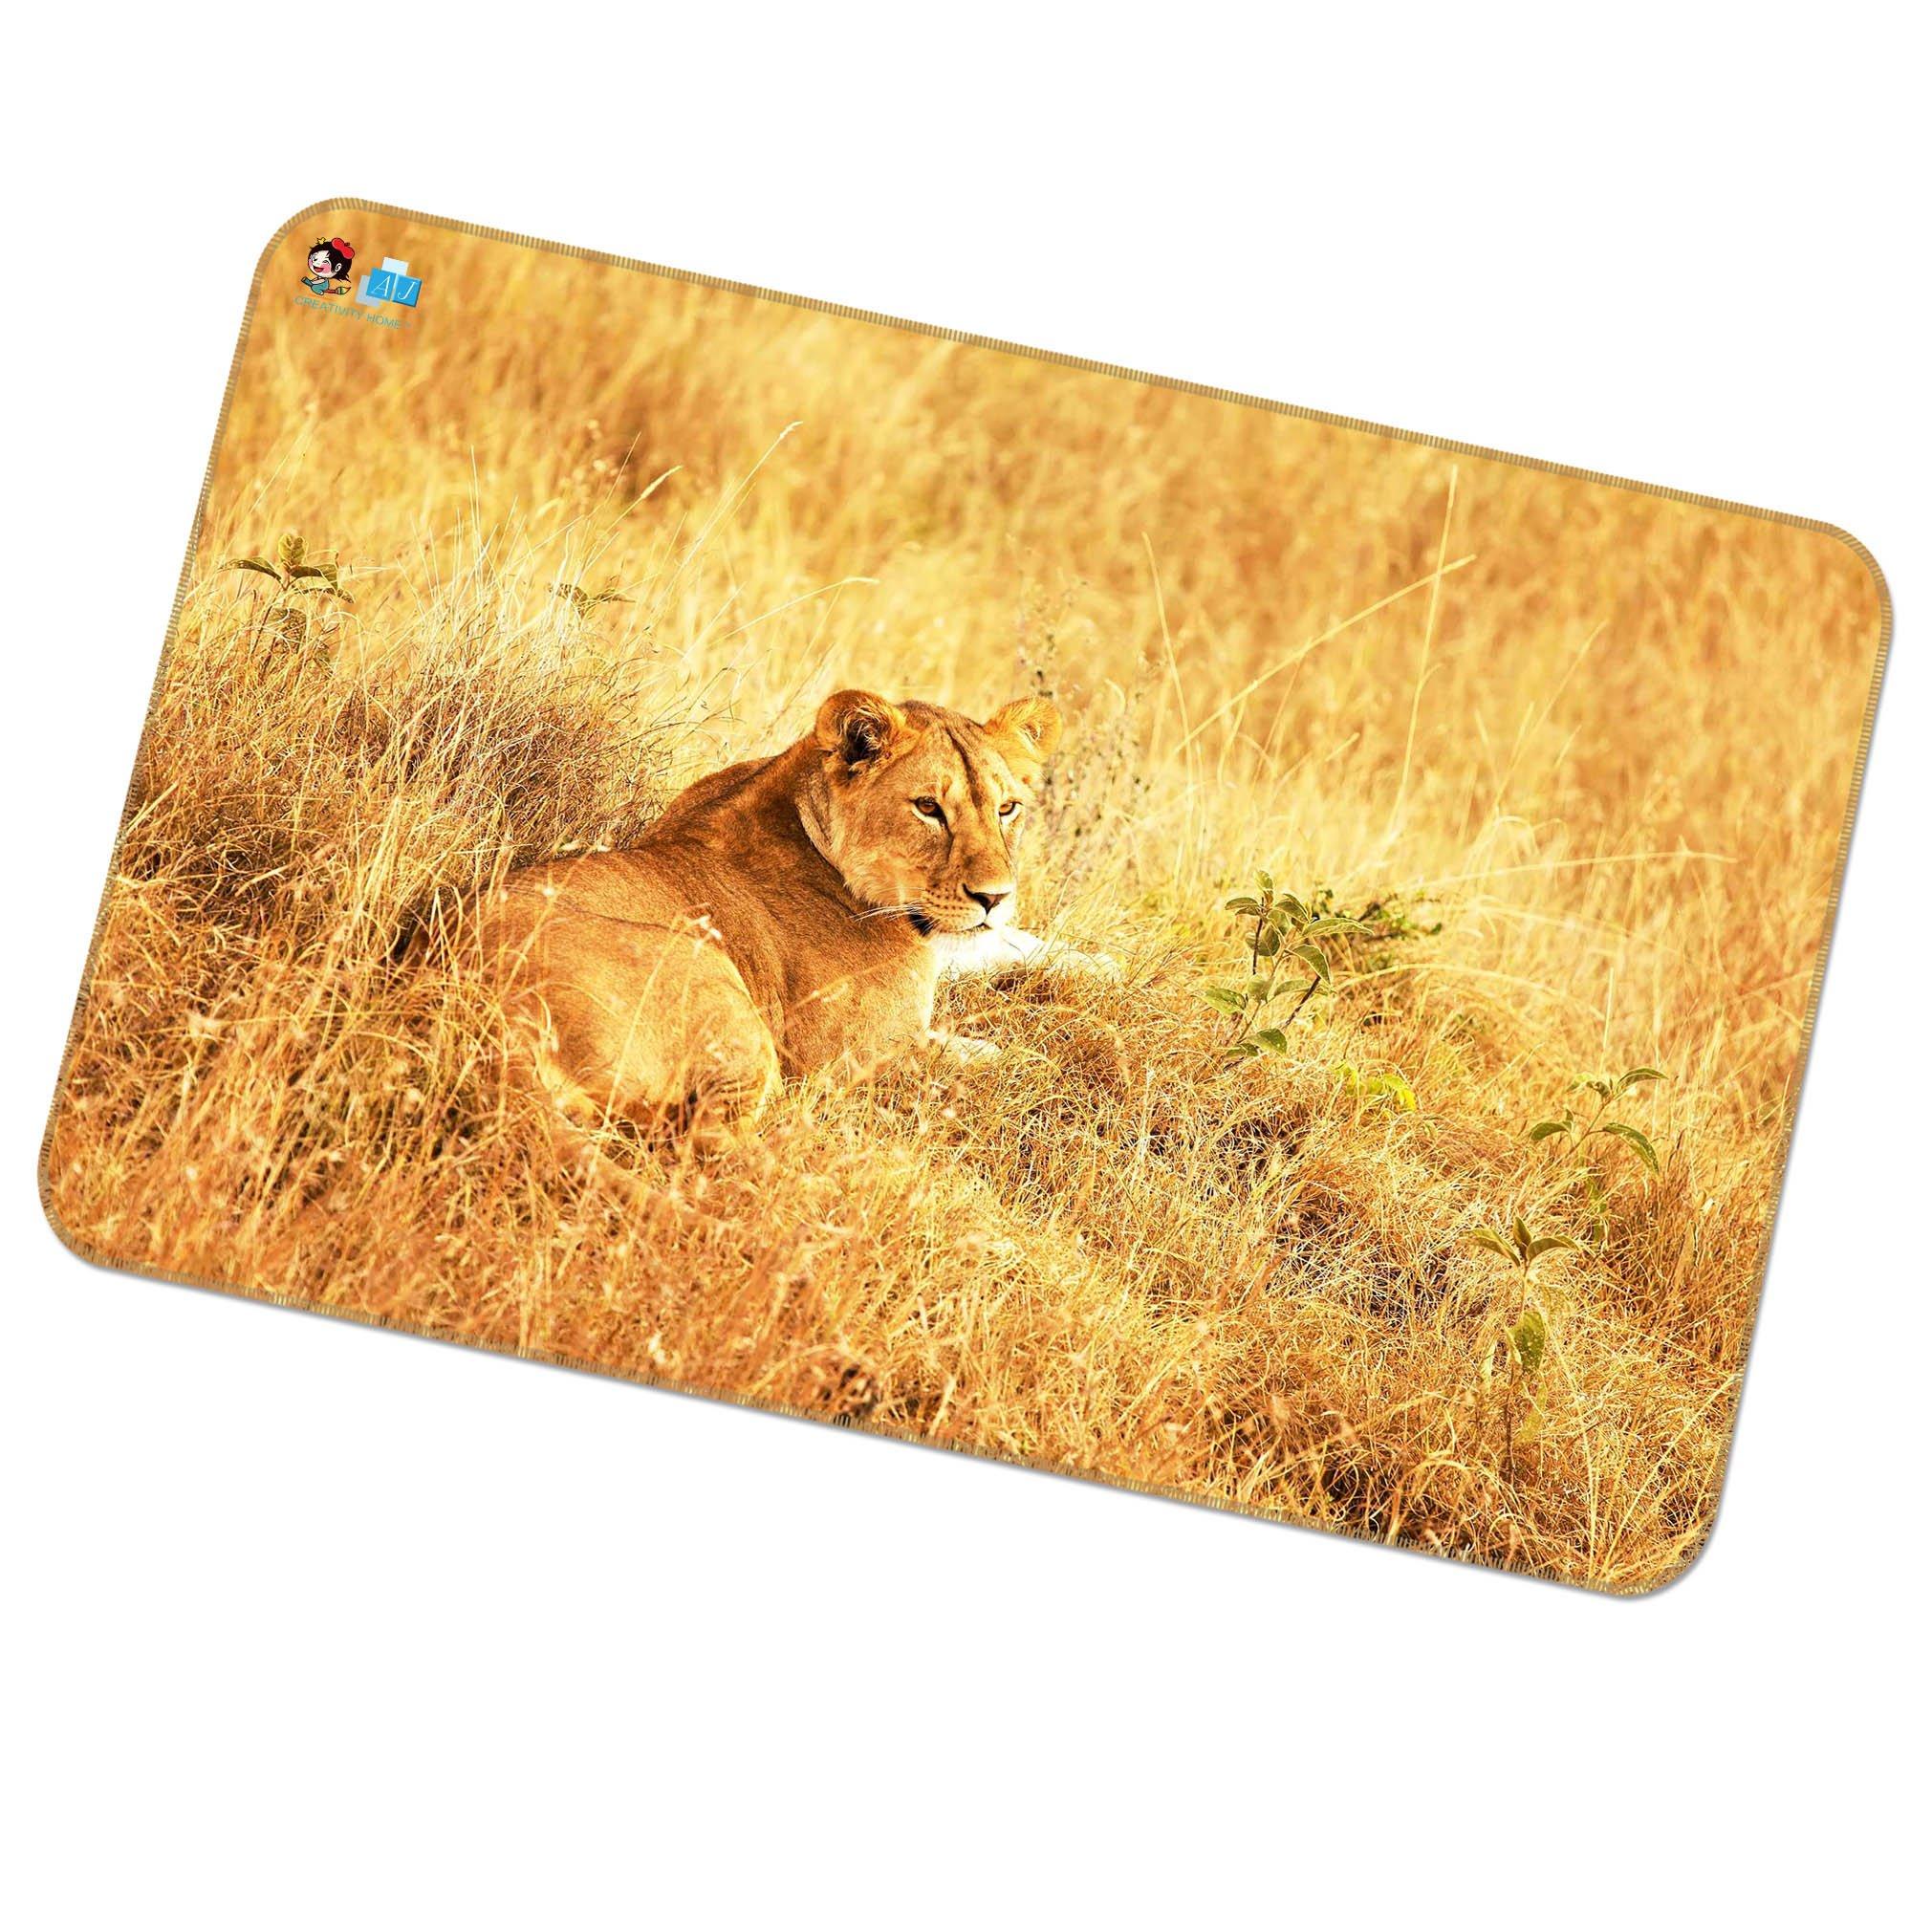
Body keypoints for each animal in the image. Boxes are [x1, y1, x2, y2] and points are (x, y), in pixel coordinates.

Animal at [480, 686, 1112, 1160]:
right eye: (928, 808)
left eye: (1008, 809)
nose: (995, 897)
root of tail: (490, 1014)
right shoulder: (852, 1052)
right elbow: (1001, 1061)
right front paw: (1055, 1066)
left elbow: (1001, 946)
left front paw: (1100, 966)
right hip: (715, 980)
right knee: (712, 1141)